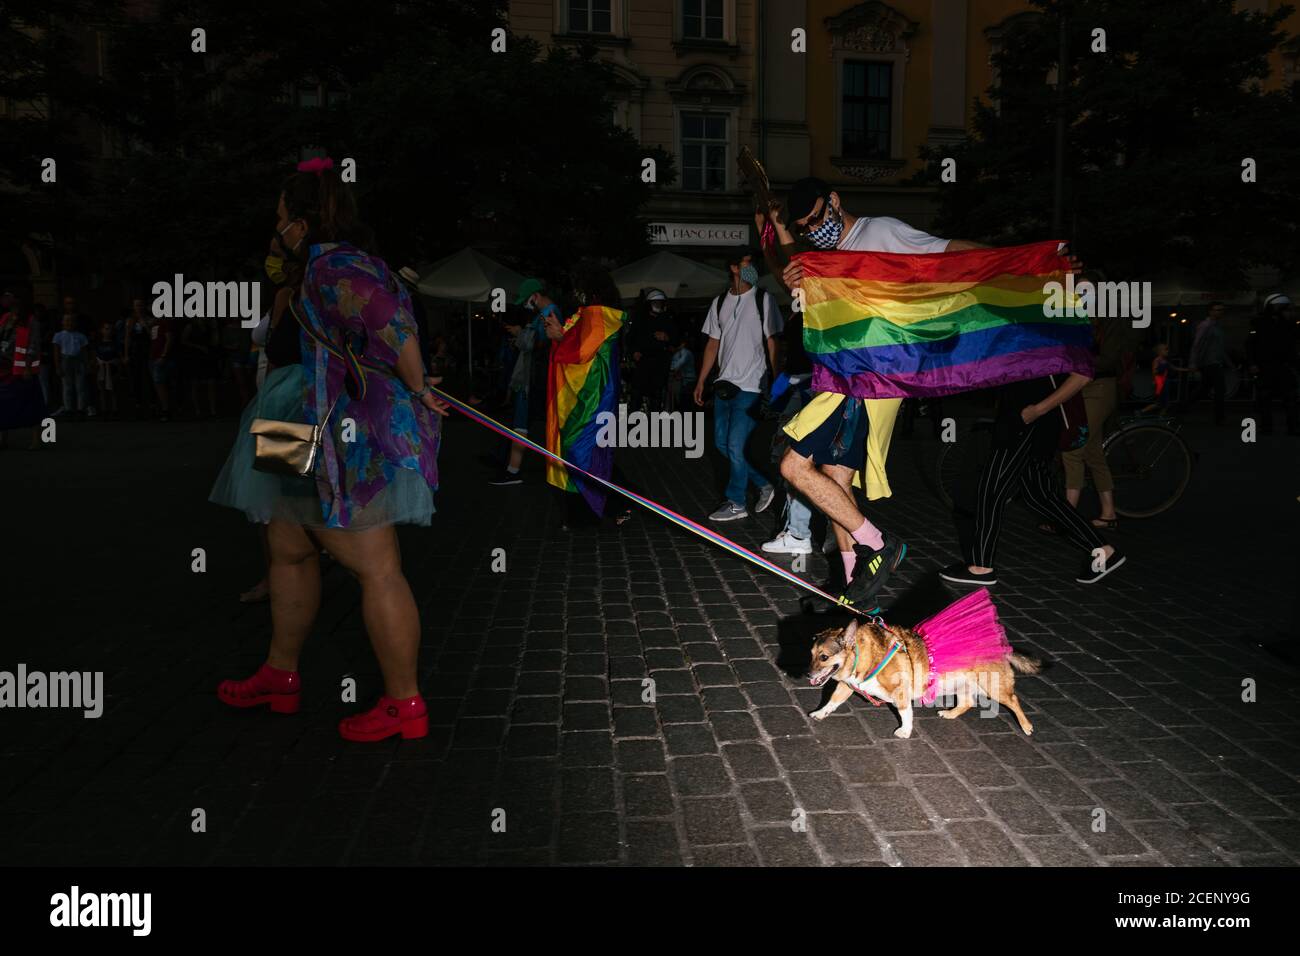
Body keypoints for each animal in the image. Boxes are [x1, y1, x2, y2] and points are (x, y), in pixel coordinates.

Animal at [806, 613, 1040, 738]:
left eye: (824, 657)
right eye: (811, 654)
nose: (807, 675)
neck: (864, 654)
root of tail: (1002, 646)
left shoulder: (900, 692)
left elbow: (905, 713)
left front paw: (905, 731)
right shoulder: (847, 685)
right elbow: (833, 701)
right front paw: (820, 713)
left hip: (992, 686)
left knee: (1013, 700)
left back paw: (1027, 726)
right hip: (962, 685)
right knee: (966, 702)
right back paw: (950, 714)